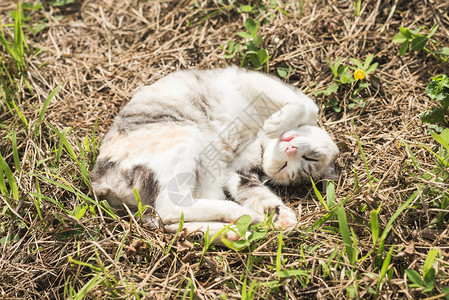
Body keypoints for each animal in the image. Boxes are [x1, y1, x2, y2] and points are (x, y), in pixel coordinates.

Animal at [89, 65, 338, 241]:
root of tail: (98, 181)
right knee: (170, 210)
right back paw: (240, 218)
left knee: (171, 218)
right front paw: (277, 123)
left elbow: (259, 195)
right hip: (186, 137)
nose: (290, 149)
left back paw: (233, 229)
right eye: (310, 156)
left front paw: (279, 215)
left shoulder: (237, 173)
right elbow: (304, 106)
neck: (258, 140)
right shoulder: (255, 83)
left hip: (205, 178)